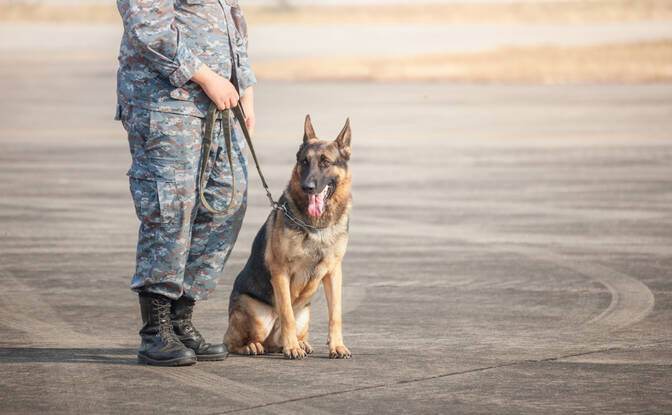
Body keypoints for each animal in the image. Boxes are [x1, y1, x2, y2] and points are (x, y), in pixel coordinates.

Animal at [224, 114, 354, 360]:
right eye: (304, 162)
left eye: (325, 162)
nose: (308, 187)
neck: (316, 226)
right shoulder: (280, 271)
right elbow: (286, 315)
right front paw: (291, 347)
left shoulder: (334, 272)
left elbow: (336, 315)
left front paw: (337, 346)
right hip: (258, 316)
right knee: (231, 341)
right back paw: (255, 346)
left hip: (305, 313)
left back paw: (301, 343)